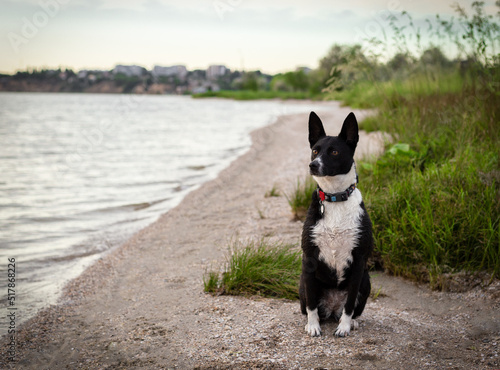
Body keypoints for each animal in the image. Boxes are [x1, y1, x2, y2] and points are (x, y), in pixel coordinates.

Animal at [298, 111, 374, 336]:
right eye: (315, 150)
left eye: (334, 152)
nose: (313, 165)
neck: (335, 198)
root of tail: (332, 309)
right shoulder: (309, 260)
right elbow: (311, 304)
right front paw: (313, 326)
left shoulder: (358, 262)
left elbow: (350, 304)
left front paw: (345, 327)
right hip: (302, 282)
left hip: (366, 281)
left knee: (352, 307)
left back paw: (352, 321)